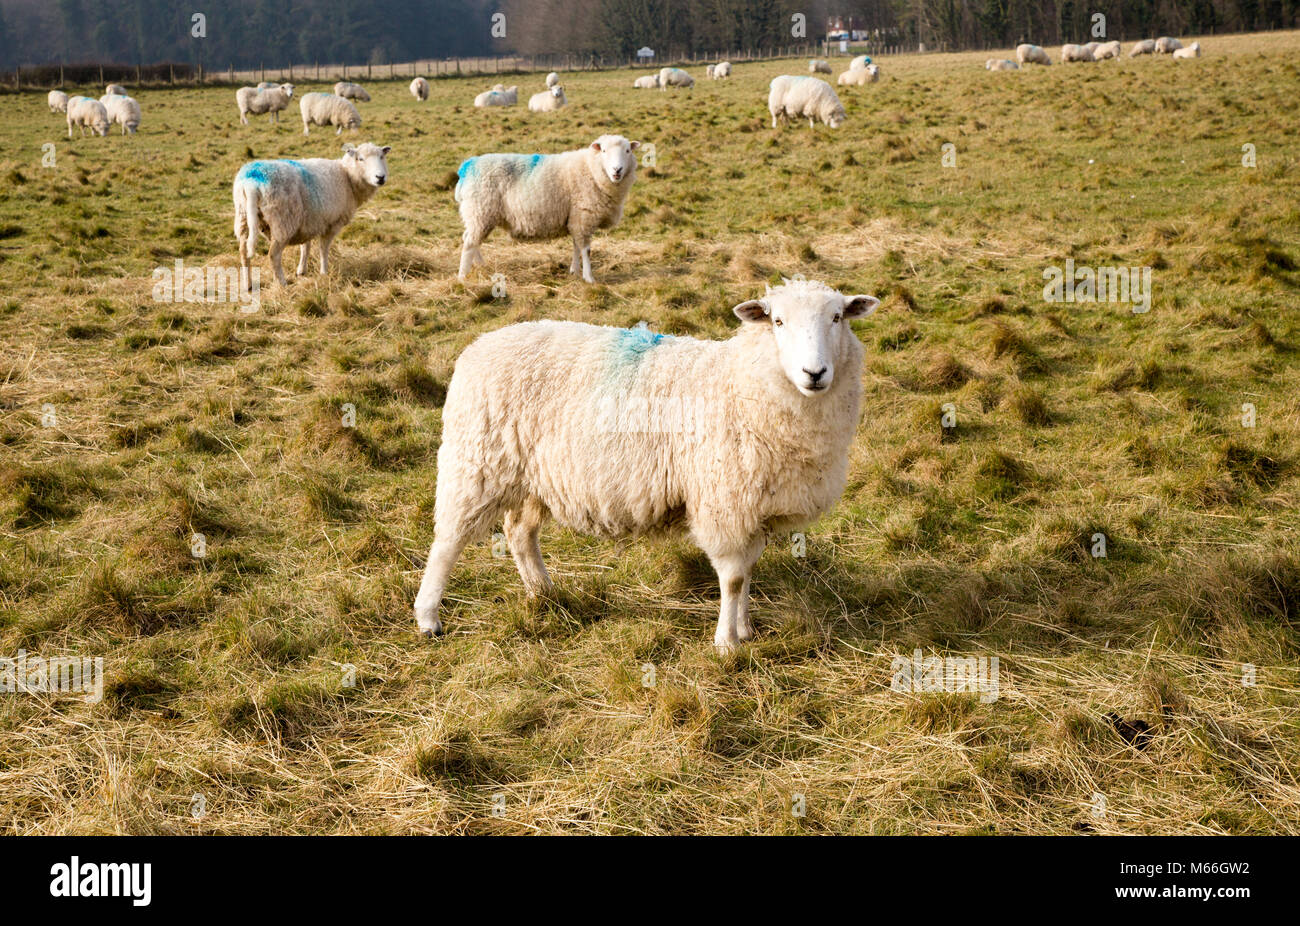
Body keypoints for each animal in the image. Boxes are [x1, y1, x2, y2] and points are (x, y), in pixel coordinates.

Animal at [233, 141, 387, 288]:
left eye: (382, 157)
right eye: (360, 159)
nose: (380, 177)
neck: (347, 177)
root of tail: (251, 182)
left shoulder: (308, 222)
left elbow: (305, 247)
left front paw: (301, 270)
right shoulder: (332, 223)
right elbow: (323, 249)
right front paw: (324, 273)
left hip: (243, 216)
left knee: (243, 252)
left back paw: (248, 284)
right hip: (282, 221)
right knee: (273, 255)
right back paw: (282, 283)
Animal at [413, 280, 883, 650]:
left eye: (838, 317)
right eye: (778, 322)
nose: (814, 372)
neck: (742, 382)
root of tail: (479, 345)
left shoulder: (753, 507)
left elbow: (748, 573)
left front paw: (745, 628)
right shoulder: (724, 502)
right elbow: (732, 578)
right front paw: (727, 643)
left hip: (531, 475)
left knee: (518, 533)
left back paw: (543, 593)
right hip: (476, 461)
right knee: (448, 540)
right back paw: (428, 617)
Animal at [454, 132, 642, 280]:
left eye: (627, 151)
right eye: (603, 151)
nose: (617, 170)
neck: (590, 169)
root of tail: (466, 167)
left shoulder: (575, 218)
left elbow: (575, 245)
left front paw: (575, 271)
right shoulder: (584, 216)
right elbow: (586, 249)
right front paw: (589, 277)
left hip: (478, 215)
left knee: (470, 239)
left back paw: (481, 265)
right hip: (481, 212)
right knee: (470, 243)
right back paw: (463, 276)